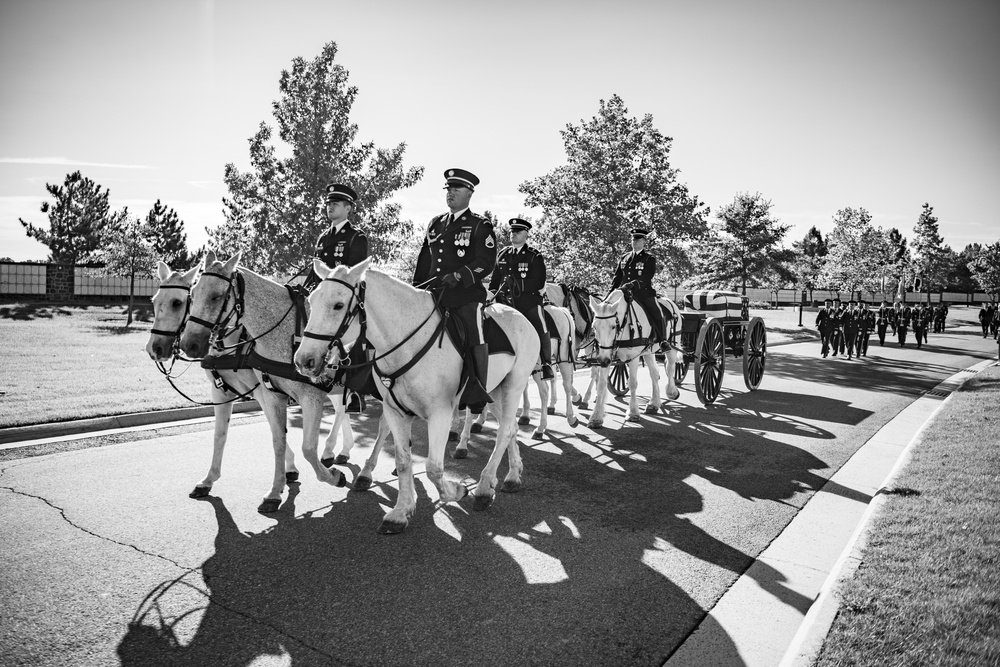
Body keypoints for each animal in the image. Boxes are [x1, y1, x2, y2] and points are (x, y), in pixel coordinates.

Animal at [294, 258, 540, 536]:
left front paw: (456, 491)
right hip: (495, 393)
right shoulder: (395, 411)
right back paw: (512, 475)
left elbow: (433, 467)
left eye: (337, 305)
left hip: (513, 386)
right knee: (510, 429)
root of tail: (520, 315)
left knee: (504, 431)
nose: (303, 361)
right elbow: (403, 460)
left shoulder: (440, 413)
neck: (405, 342)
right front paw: (400, 512)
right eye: (311, 300)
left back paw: (484, 487)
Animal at [588, 290, 684, 428]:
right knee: (654, 374)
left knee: (670, 368)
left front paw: (633, 412)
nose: (603, 361)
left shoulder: (633, 357)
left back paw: (672, 391)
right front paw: (596, 417)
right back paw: (654, 404)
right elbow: (601, 385)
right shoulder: (606, 355)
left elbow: (632, 383)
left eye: (613, 326)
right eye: (594, 327)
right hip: (649, 351)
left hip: (672, 345)